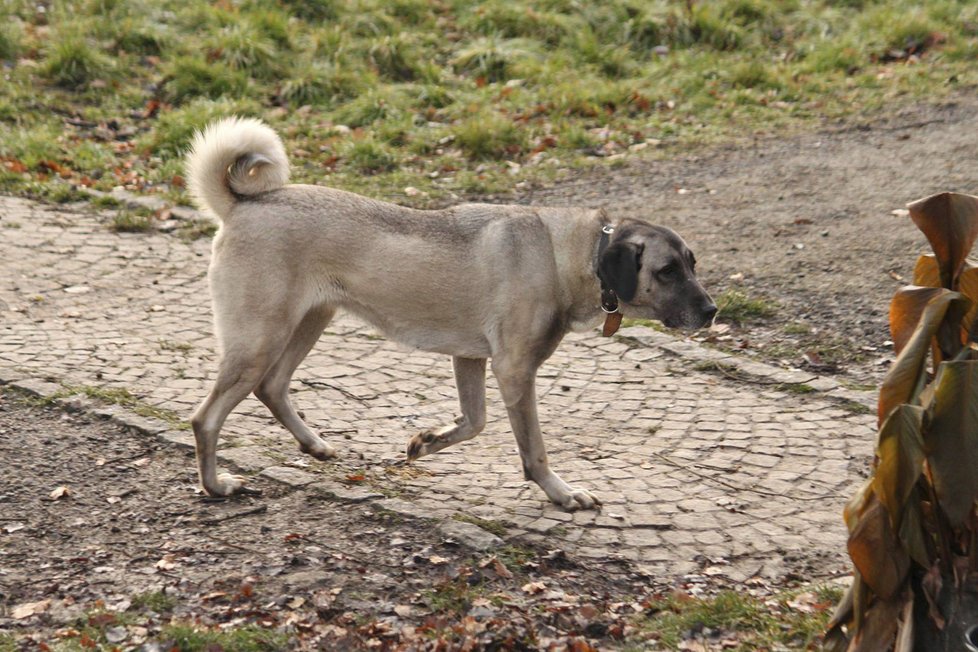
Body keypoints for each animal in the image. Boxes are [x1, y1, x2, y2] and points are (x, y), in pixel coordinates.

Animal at [185, 119, 716, 512]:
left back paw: (313, 445)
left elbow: (473, 423)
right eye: (667, 271)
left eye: (693, 264)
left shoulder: (471, 359)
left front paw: (425, 441)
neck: (569, 254)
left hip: (307, 324)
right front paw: (560, 493)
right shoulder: (514, 371)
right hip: (260, 339)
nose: (712, 311)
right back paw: (216, 486)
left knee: (272, 388)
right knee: (206, 418)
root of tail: (242, 205)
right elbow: (534, 449)